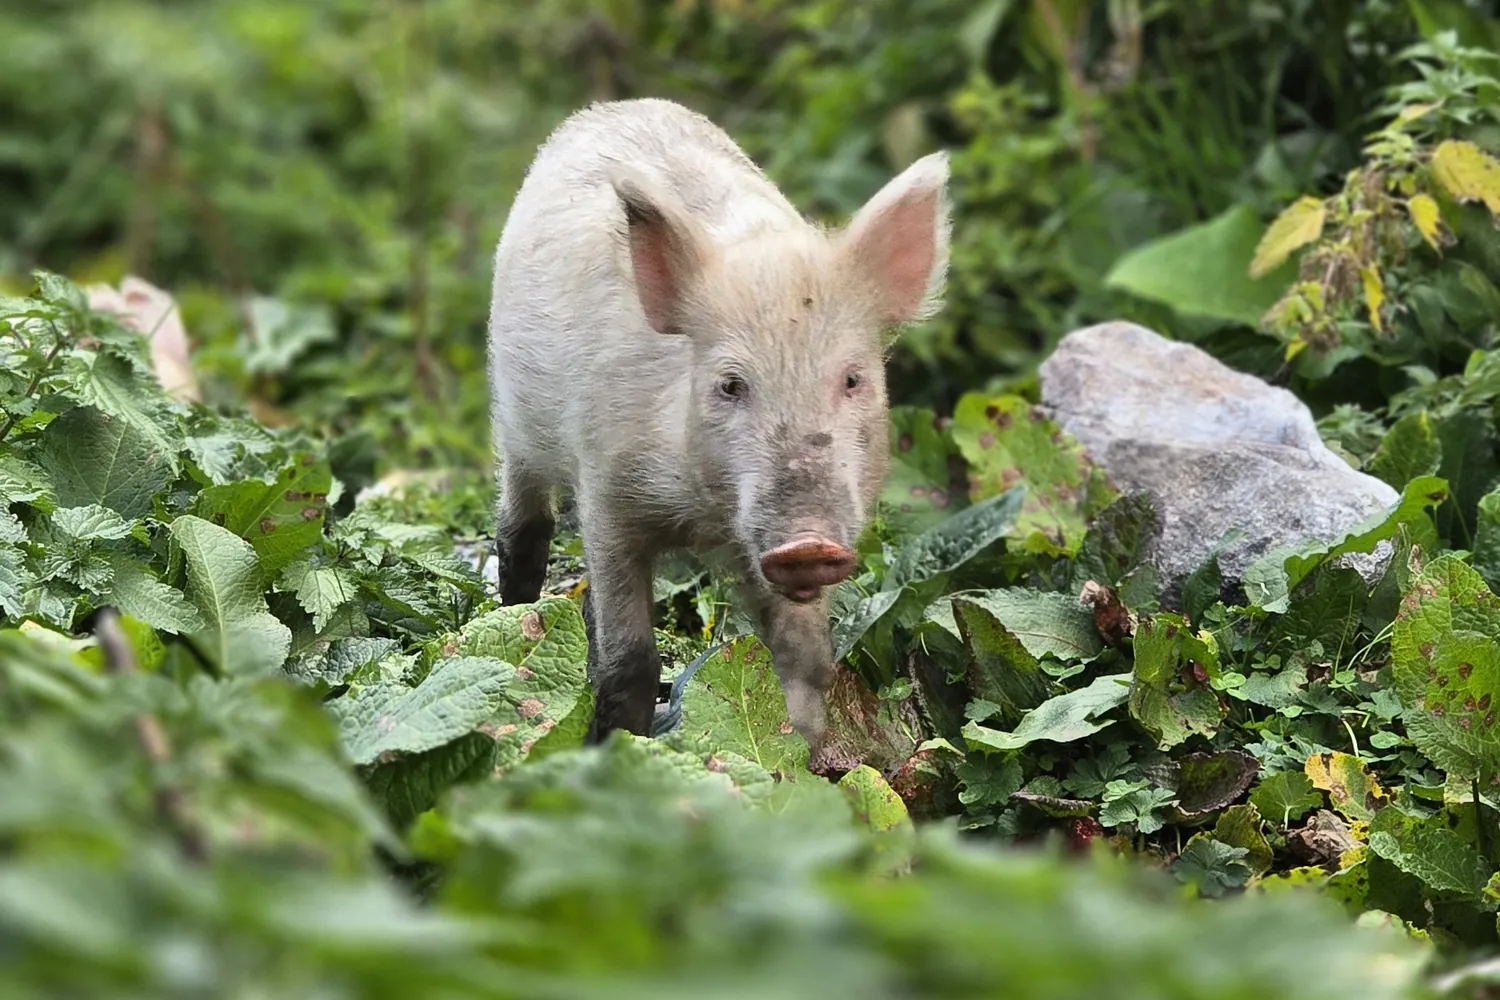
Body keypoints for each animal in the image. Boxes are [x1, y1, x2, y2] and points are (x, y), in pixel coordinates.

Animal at [487, 97, 950, 749]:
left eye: (854, 379)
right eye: (731, 384)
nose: (807, 543)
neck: (703, 518)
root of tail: (610, 107)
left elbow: (806, 657)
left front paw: (809, 756)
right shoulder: (606, 495)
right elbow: (629, 659)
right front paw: (616, 750)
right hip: (514, 414)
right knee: (522, 520)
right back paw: (513, 608)